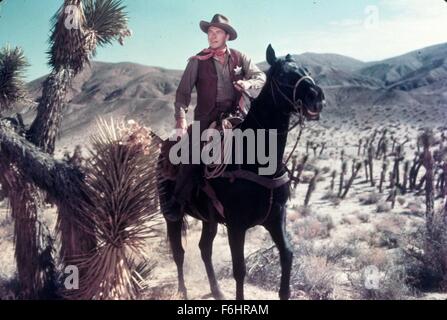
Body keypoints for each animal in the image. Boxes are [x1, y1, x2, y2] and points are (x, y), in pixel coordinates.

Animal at [158, 44, 326, 300]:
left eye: (307, 70)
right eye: (282, 75)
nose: (316, 97)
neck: (257, 159)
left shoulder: (276, 217)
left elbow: (287, 255)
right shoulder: (236, 225)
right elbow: (239, 269)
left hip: (209, 219)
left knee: (204, 248)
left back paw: (217, 291)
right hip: (171, 216)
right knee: (179, 252)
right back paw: (182, 292)